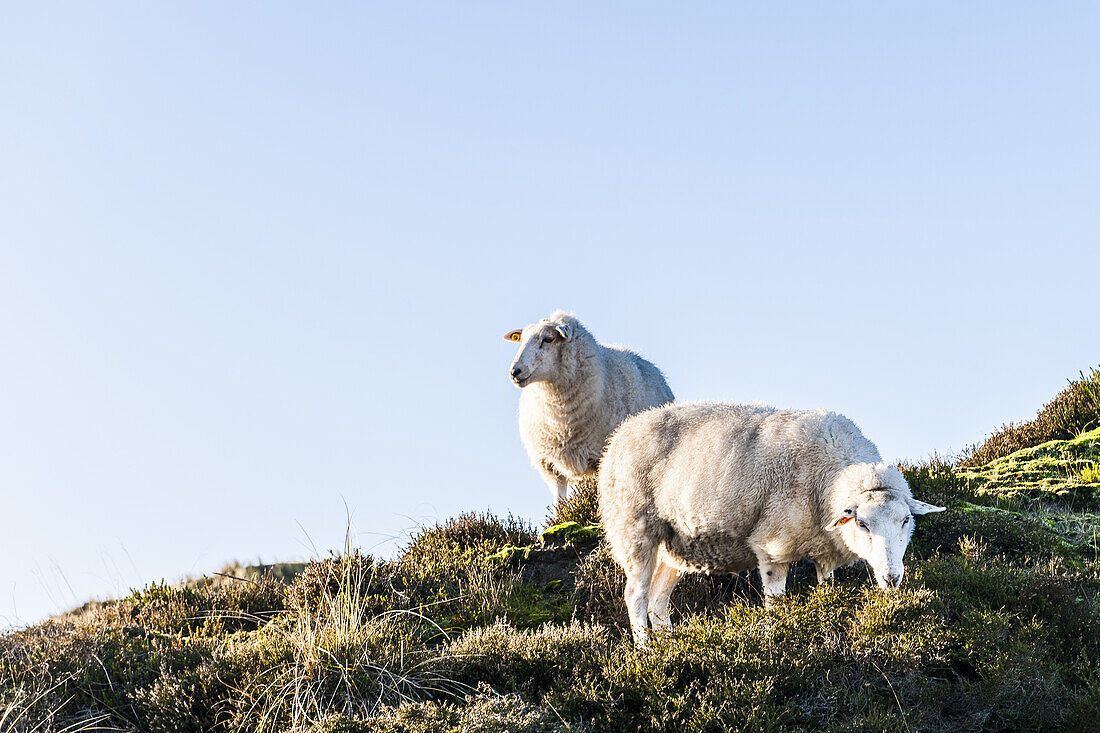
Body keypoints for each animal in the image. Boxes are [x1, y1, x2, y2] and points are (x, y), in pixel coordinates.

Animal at [503, 308, 673, 501]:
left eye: (548, 339)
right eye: (521, 340)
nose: (515, 371)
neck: (562, 423)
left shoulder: (600, 457)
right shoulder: (550, 466)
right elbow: (559, 502)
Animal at [598, 402, 950, 642]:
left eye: (906, 520)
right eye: (862, 524)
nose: (892, 577)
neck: (827, 478)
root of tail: (621, 433)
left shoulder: (823, 550)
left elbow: (826, 590)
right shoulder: (772, 547)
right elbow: (776, 604)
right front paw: (775, 637)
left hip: (677, 546)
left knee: (658, 599)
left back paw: (671, 647)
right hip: (634, 528)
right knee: (636, 596)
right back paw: (646, 650)